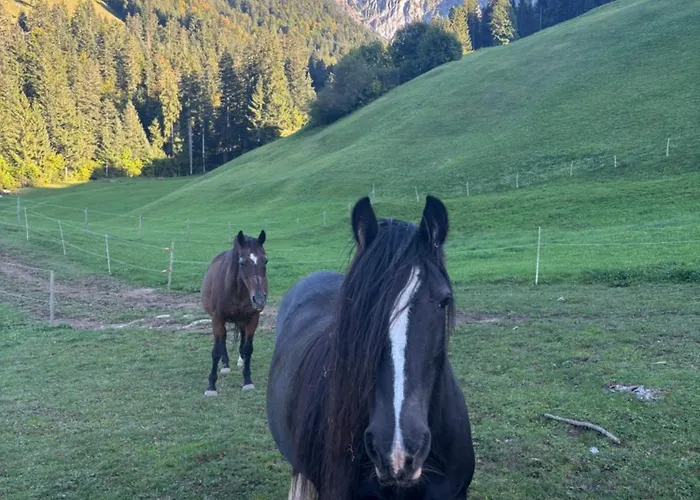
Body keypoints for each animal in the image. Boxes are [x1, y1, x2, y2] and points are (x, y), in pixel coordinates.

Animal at [201, 229, 268, 395]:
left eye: (265, 261)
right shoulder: (217, 318)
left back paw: (240, 359)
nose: (259, 299)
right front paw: (211, 386)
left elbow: (248, 348)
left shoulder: (252, 318)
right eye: (242, 262)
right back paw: (225, 365)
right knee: (222, 340)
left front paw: (247, 381)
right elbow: (216, 351)